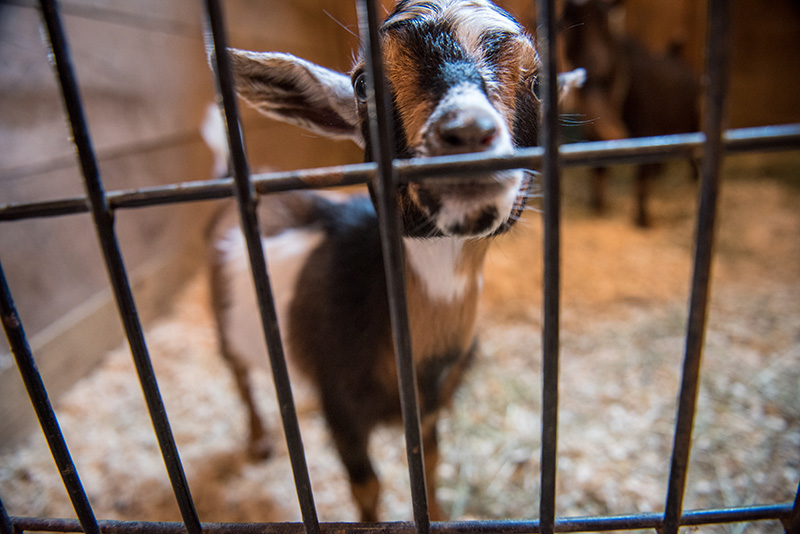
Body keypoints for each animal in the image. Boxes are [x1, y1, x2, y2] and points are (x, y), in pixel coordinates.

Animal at [207, 0, 573, 521]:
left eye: (540, 83)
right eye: (363, 84)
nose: (466, 132)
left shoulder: (431, 411)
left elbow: (432, 464)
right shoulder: (343, 415)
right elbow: (368, 488)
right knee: (239, 378)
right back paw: (258, 442)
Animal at [560, 0, 700, 227]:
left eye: (606, 25)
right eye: (563, 22)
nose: (597, 63)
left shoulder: (646, 131)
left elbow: (641, 180)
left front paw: (643, 220)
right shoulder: (593, 135)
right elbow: (597, 170)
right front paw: (598, 206)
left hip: (692, 121)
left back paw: (694, 176)